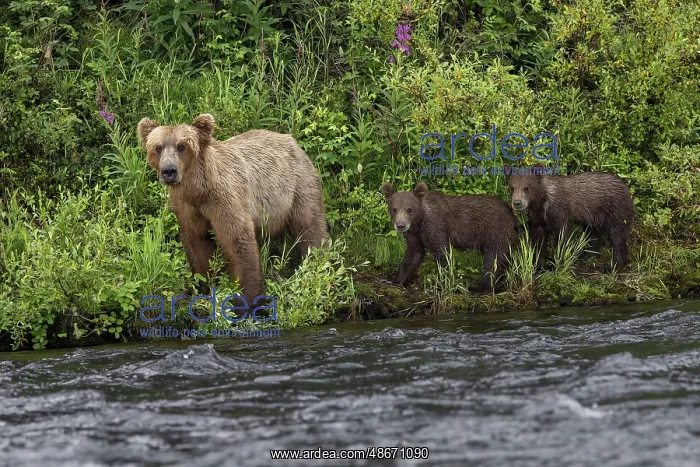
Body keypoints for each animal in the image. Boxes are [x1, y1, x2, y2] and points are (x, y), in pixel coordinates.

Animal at [137, 113, 328, 307]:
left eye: (182, 146)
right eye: (157, 147)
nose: (169, 170)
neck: (199, 191)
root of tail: (293, 141)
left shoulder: (225, 200)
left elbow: (238, 242)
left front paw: (246, 302)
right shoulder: (187, 208)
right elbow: (197, 244)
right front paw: (203, 287)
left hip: (298, 188)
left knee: (310, 228)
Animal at [380, 182, 519, 293]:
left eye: (409, 209)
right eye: (394, 209)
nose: (401, 225)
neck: (420, 221)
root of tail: (510, 211)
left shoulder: (435, 227)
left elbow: (442, 253)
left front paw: (440, 284)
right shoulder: (415, 236)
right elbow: (412, 256)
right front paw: (396, 281)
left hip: (495, 231)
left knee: (494, 259)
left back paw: (481, 287)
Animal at [506, 165, 635, 270]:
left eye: (526, 188)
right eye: (512, 187)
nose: (517, 203)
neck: (542, 202)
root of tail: (626, 187)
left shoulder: (559, 213)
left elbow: (563, 237)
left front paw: (559, 262)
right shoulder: (538, 217)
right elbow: (539, 240)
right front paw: (538, 265)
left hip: (616, 210)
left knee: (618, 236)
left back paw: (614, 266)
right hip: (593, 216)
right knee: (593, 233)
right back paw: (586, 254)